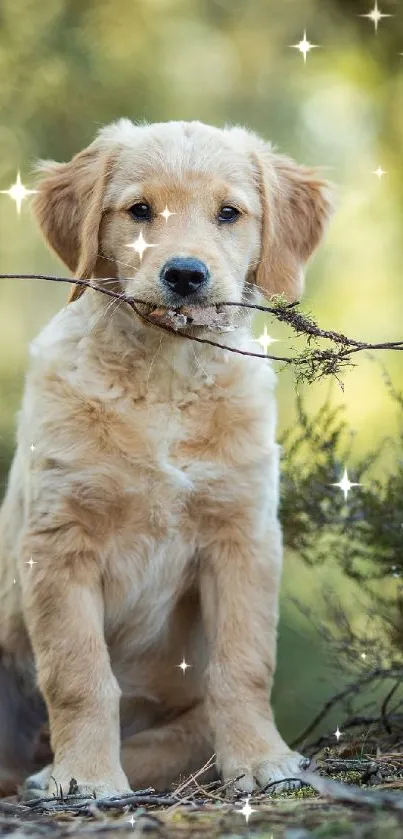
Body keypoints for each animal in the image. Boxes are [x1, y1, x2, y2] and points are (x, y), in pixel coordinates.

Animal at [0, 120, 332, 800]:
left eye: (229, 213)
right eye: (139, 211)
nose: (184, 275)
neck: (165, 378)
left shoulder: (243, 536)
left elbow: (244, 664)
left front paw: (263, 761)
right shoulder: (57, 541)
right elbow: (79, 674)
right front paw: (87, 779)